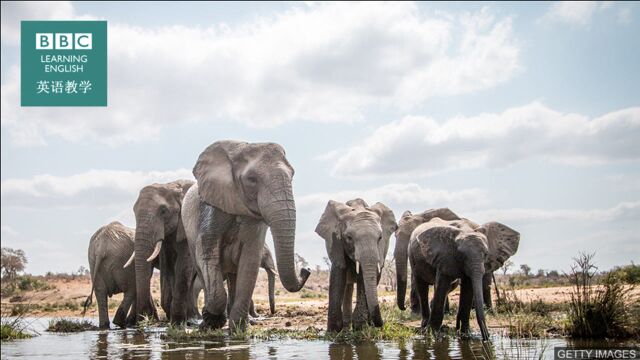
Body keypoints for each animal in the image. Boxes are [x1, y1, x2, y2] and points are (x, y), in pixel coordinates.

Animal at [127, 180, 198, 324]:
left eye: (163, 211)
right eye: (134, 211)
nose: (145, 316)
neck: (171, 185)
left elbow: (183, 266)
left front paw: (177, 322)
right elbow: (167, 266)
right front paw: (172, 317)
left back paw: (191, 319)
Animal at [181, 141, 312, 332]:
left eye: (292, 175)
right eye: (251, 179)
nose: (306, 269)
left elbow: (250, 260)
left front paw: (239, 329)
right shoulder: (211, 208)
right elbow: (207, 255)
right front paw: (213, 322)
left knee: (234, 277)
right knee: (202, 272)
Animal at [314, 198, 398, 330]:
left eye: (380, 238)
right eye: (349, 237)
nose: (381, 324)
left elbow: (365, 278)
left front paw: (360, 326)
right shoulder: (336, 242)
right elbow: (338, 274)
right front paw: (333, 330)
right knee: (348, 286)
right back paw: (346, 326)